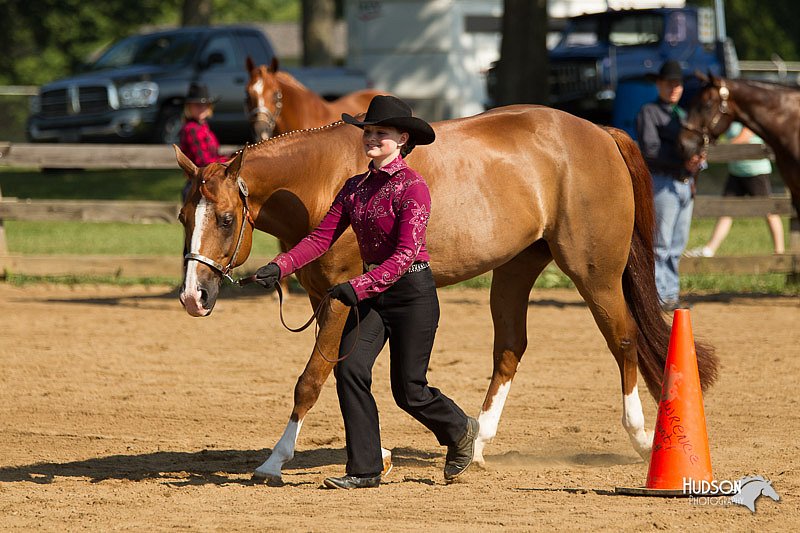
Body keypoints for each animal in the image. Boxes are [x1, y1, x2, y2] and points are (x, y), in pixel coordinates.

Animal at [175, 106, 720, 484]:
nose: (193, 297)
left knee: (623, 340)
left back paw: (641, 437)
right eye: (183, 217)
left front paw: (274, 461)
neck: (322, 180)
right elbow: (338, 373)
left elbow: (310, 380)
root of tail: (601, 133)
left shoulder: (338, 298)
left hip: (596, 272)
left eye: (225, 219)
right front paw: (380, 456)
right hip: (516, 268)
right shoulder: (327, 298)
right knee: (510, 348)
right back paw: (475, 446)